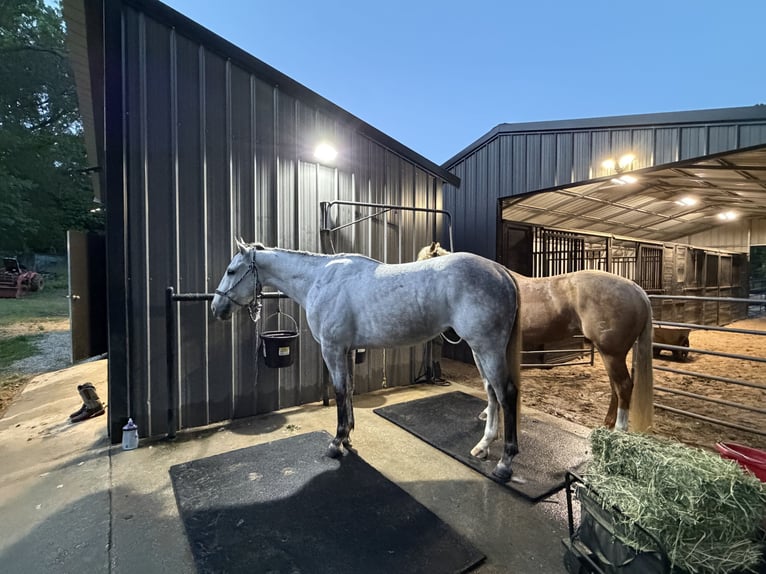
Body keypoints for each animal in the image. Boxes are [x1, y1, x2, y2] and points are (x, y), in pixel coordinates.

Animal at [212, 239, 523, 481]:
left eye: (231, 270)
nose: (216, 307)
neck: (319, 280)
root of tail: (501, 271)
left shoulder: (333, 349)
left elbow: (339, 393)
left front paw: (336, 442)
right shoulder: (347, 350)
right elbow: (348, 390)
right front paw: (348, 436)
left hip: (487, 346)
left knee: (506, 394)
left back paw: (505, 464)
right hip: (480, 349)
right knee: (492, 392)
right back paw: (483, 447)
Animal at [417, 242, 654, 432]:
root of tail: (637, 289)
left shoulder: (483, 349)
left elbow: (489, 381)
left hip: (612, 353)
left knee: (624, 387)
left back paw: (619, 430)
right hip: (610, 354)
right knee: (615, 388)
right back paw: (606, 425)